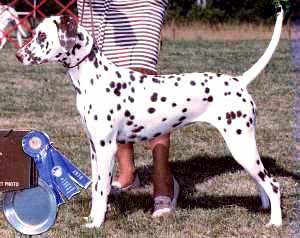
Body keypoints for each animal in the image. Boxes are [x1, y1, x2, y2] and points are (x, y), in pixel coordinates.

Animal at [15, 6, 284, 228]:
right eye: (35, 32)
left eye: (41, 36)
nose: (18, 55)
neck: (93, 78)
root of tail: (239, 81)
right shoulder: (93, 148)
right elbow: (96, 187)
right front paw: (91, 218)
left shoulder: (106, 148)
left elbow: (101, 190)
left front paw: (97, 223)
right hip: (243, 150)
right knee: (261, 182)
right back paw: (264, 209)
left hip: (241, 145)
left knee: (273, 184)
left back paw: (275, 222)